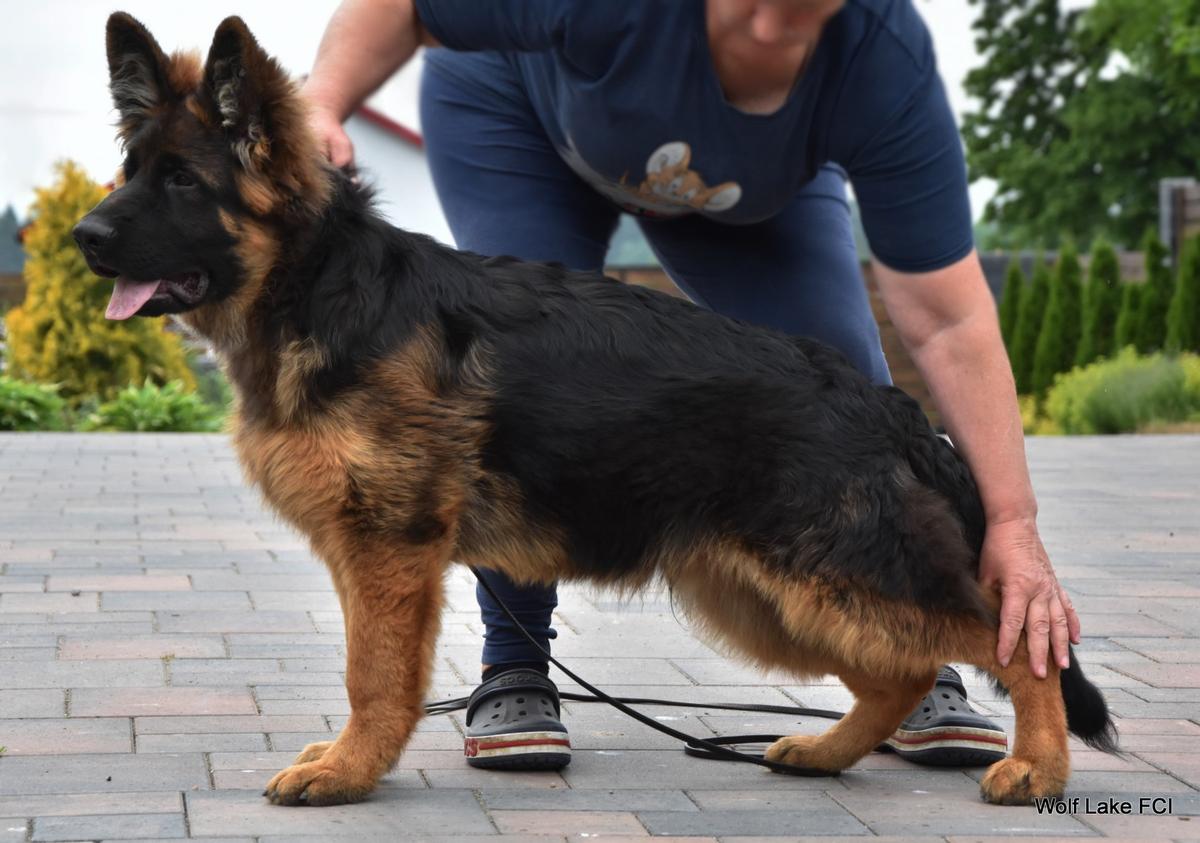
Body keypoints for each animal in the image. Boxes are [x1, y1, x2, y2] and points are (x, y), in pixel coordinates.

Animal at [75, 11, 1118, 806]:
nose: (82, 236)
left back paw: (1037, 765)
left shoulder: (389, 555)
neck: (321, 285)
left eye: (181, 181)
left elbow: (373, 677)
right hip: (768, 596)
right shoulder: (376, 557)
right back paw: (825, 751)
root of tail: (893, 407)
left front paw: (347, 770)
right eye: (129, 170)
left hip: (836, 584)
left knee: (1008, 643)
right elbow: (378, 672)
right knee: (896, 674)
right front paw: (350, 762)